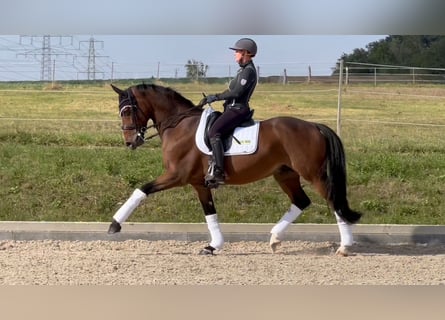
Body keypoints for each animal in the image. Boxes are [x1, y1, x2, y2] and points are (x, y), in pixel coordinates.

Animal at [107, 82, 360, 255]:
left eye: (127, 111)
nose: (130, 142)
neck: (179, 124)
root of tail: (314, 127)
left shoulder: (176, 176)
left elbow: (141, 190)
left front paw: (115, 224)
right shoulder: (199, 183)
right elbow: (210, 213)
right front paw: (213, 246)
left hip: (313, 174)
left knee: (333, 201)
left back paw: (345, 247)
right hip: (285, 174)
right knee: (301, 201)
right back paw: (274, 239)